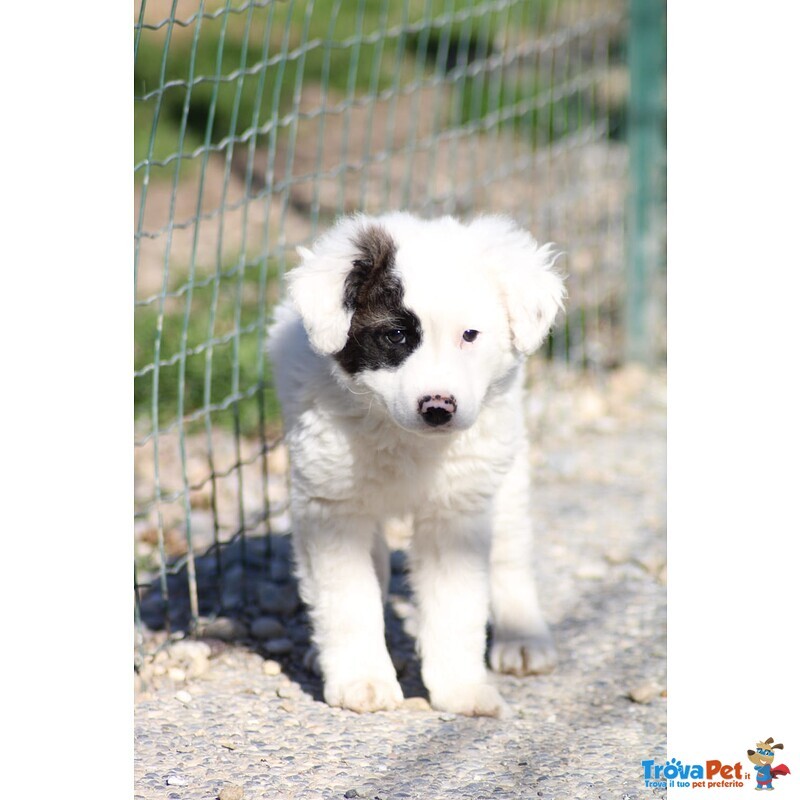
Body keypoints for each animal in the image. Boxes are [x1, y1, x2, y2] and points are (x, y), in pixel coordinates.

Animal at [268, 212, 564, 720]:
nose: (438, 408)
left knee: (510, 551)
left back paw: (523, 638)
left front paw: (461, 689)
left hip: (507, 469)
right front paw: (362, 681)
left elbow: (455, 605)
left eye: (470, 335)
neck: (402, 439)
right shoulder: (332, 507)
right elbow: (349, 600)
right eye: (396, 335)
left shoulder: (458, 509)